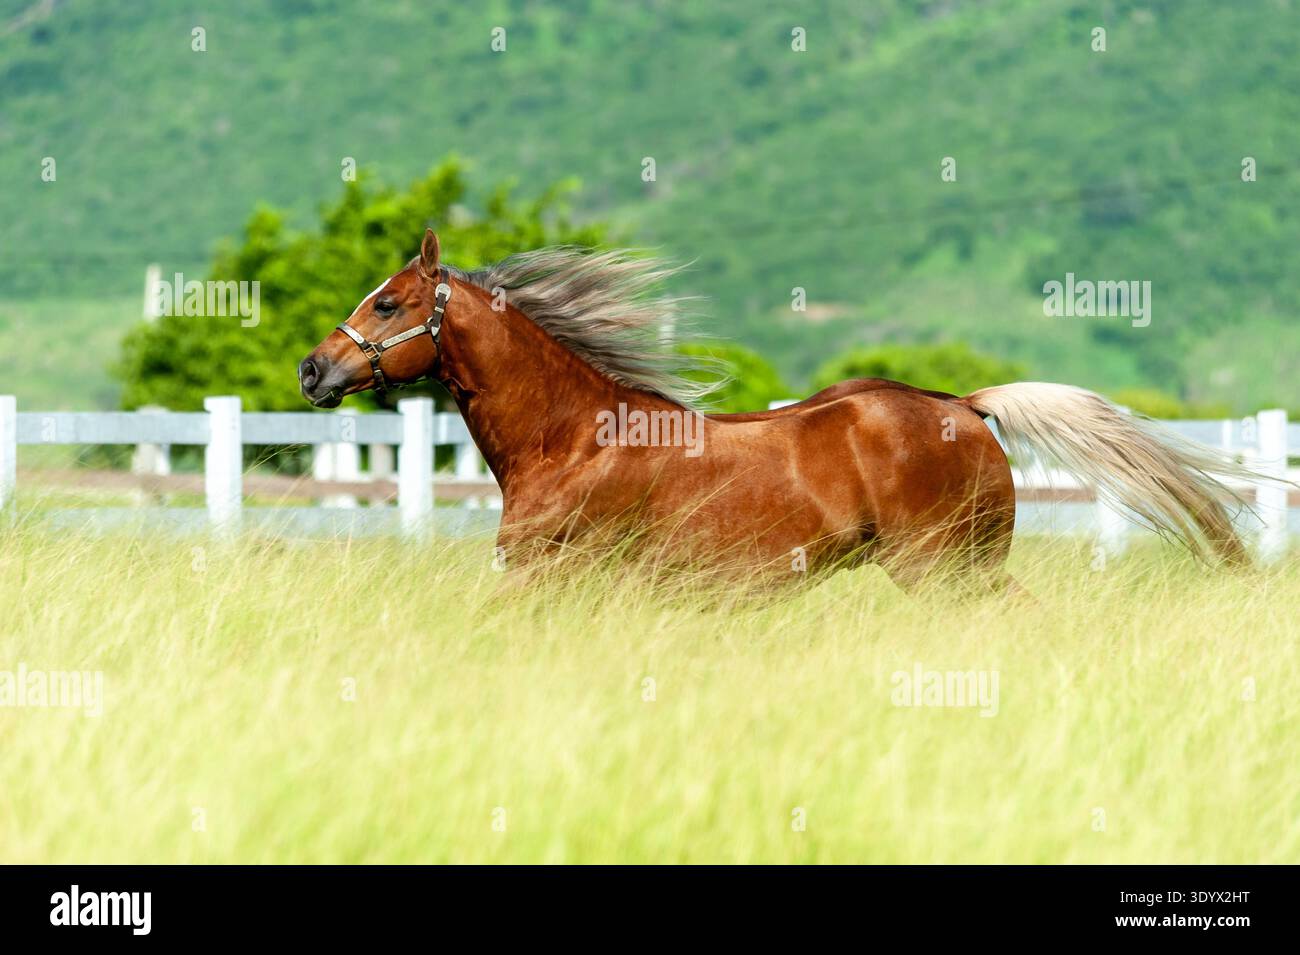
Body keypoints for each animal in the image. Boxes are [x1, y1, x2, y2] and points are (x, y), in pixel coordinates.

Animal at [299, 230, 1257, 592]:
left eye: (388, 302)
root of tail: (966, 405)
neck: (575, 438)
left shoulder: (552, 579)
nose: (313, 370)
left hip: (943, 568)